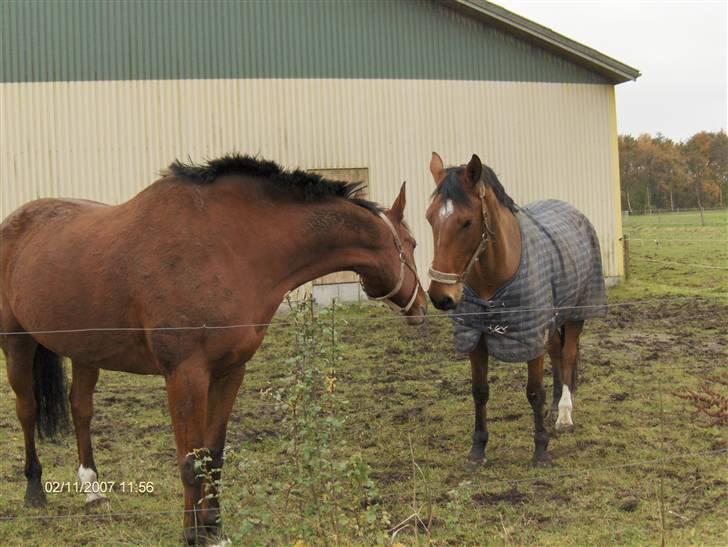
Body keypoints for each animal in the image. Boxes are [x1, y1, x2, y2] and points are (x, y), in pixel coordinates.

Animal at [0, 154, 426, 544]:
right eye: (413, 243)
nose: (423, 306)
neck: (228, 247)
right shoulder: (185, 374)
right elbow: (191, 461)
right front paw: (192, 535)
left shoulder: (229, 372)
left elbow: (214, 457)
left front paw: (215, 529)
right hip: (16, 343)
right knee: (27, 410)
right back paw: (34, 491)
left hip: (87, 351)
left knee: (81, 409)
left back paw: (92, 491)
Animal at [430, 154, 604, 466]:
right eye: (429, 218)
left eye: (466, 222)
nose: (441, 296)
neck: (494, 279)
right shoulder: (475, 337)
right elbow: (479, 391)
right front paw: (477, 449)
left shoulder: (530, 336)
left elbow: (534, 392)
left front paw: (541, 450)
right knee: (557, 353)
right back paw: (555, 407)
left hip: (576, 313)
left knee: (568, 355)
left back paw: (564, 414)